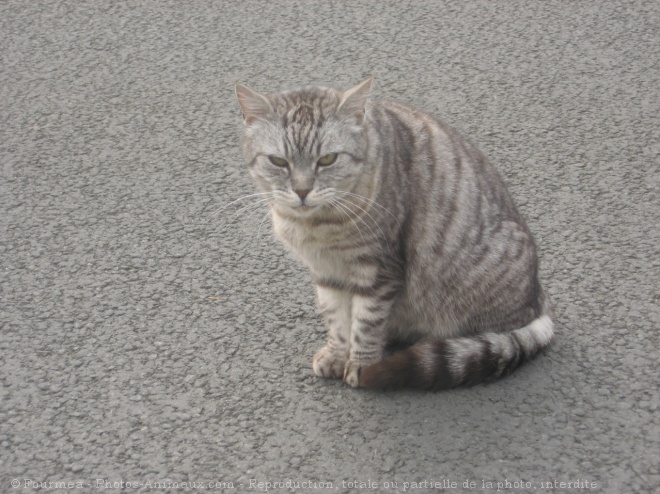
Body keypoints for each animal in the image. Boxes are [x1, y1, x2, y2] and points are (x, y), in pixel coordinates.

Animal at [232, 77, 552, 390]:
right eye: (278, 162)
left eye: (327, 159)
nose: (301, 190)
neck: (318, 226)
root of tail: (539, 302)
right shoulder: (326, 272)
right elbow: (337, 319)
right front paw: (337, 354)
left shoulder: (378, 271)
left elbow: (366, 323)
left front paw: (362, 363)